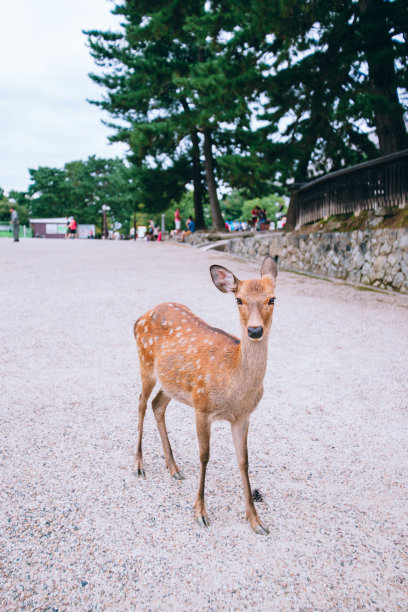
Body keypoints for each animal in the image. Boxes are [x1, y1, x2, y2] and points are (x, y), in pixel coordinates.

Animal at [134, 256, 278, 532]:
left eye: (272, 298)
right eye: (238, 299)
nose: (255, 330)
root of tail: (138, 319)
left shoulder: (242, 417)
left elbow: (243, 460)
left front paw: (256, 521)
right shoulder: (202, 406)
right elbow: (204, 456)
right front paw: (200, 512)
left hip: (173, 384)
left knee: (158, 405)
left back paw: (174, 467)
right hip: (145, 364)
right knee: (141, 404)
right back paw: (139, 464)